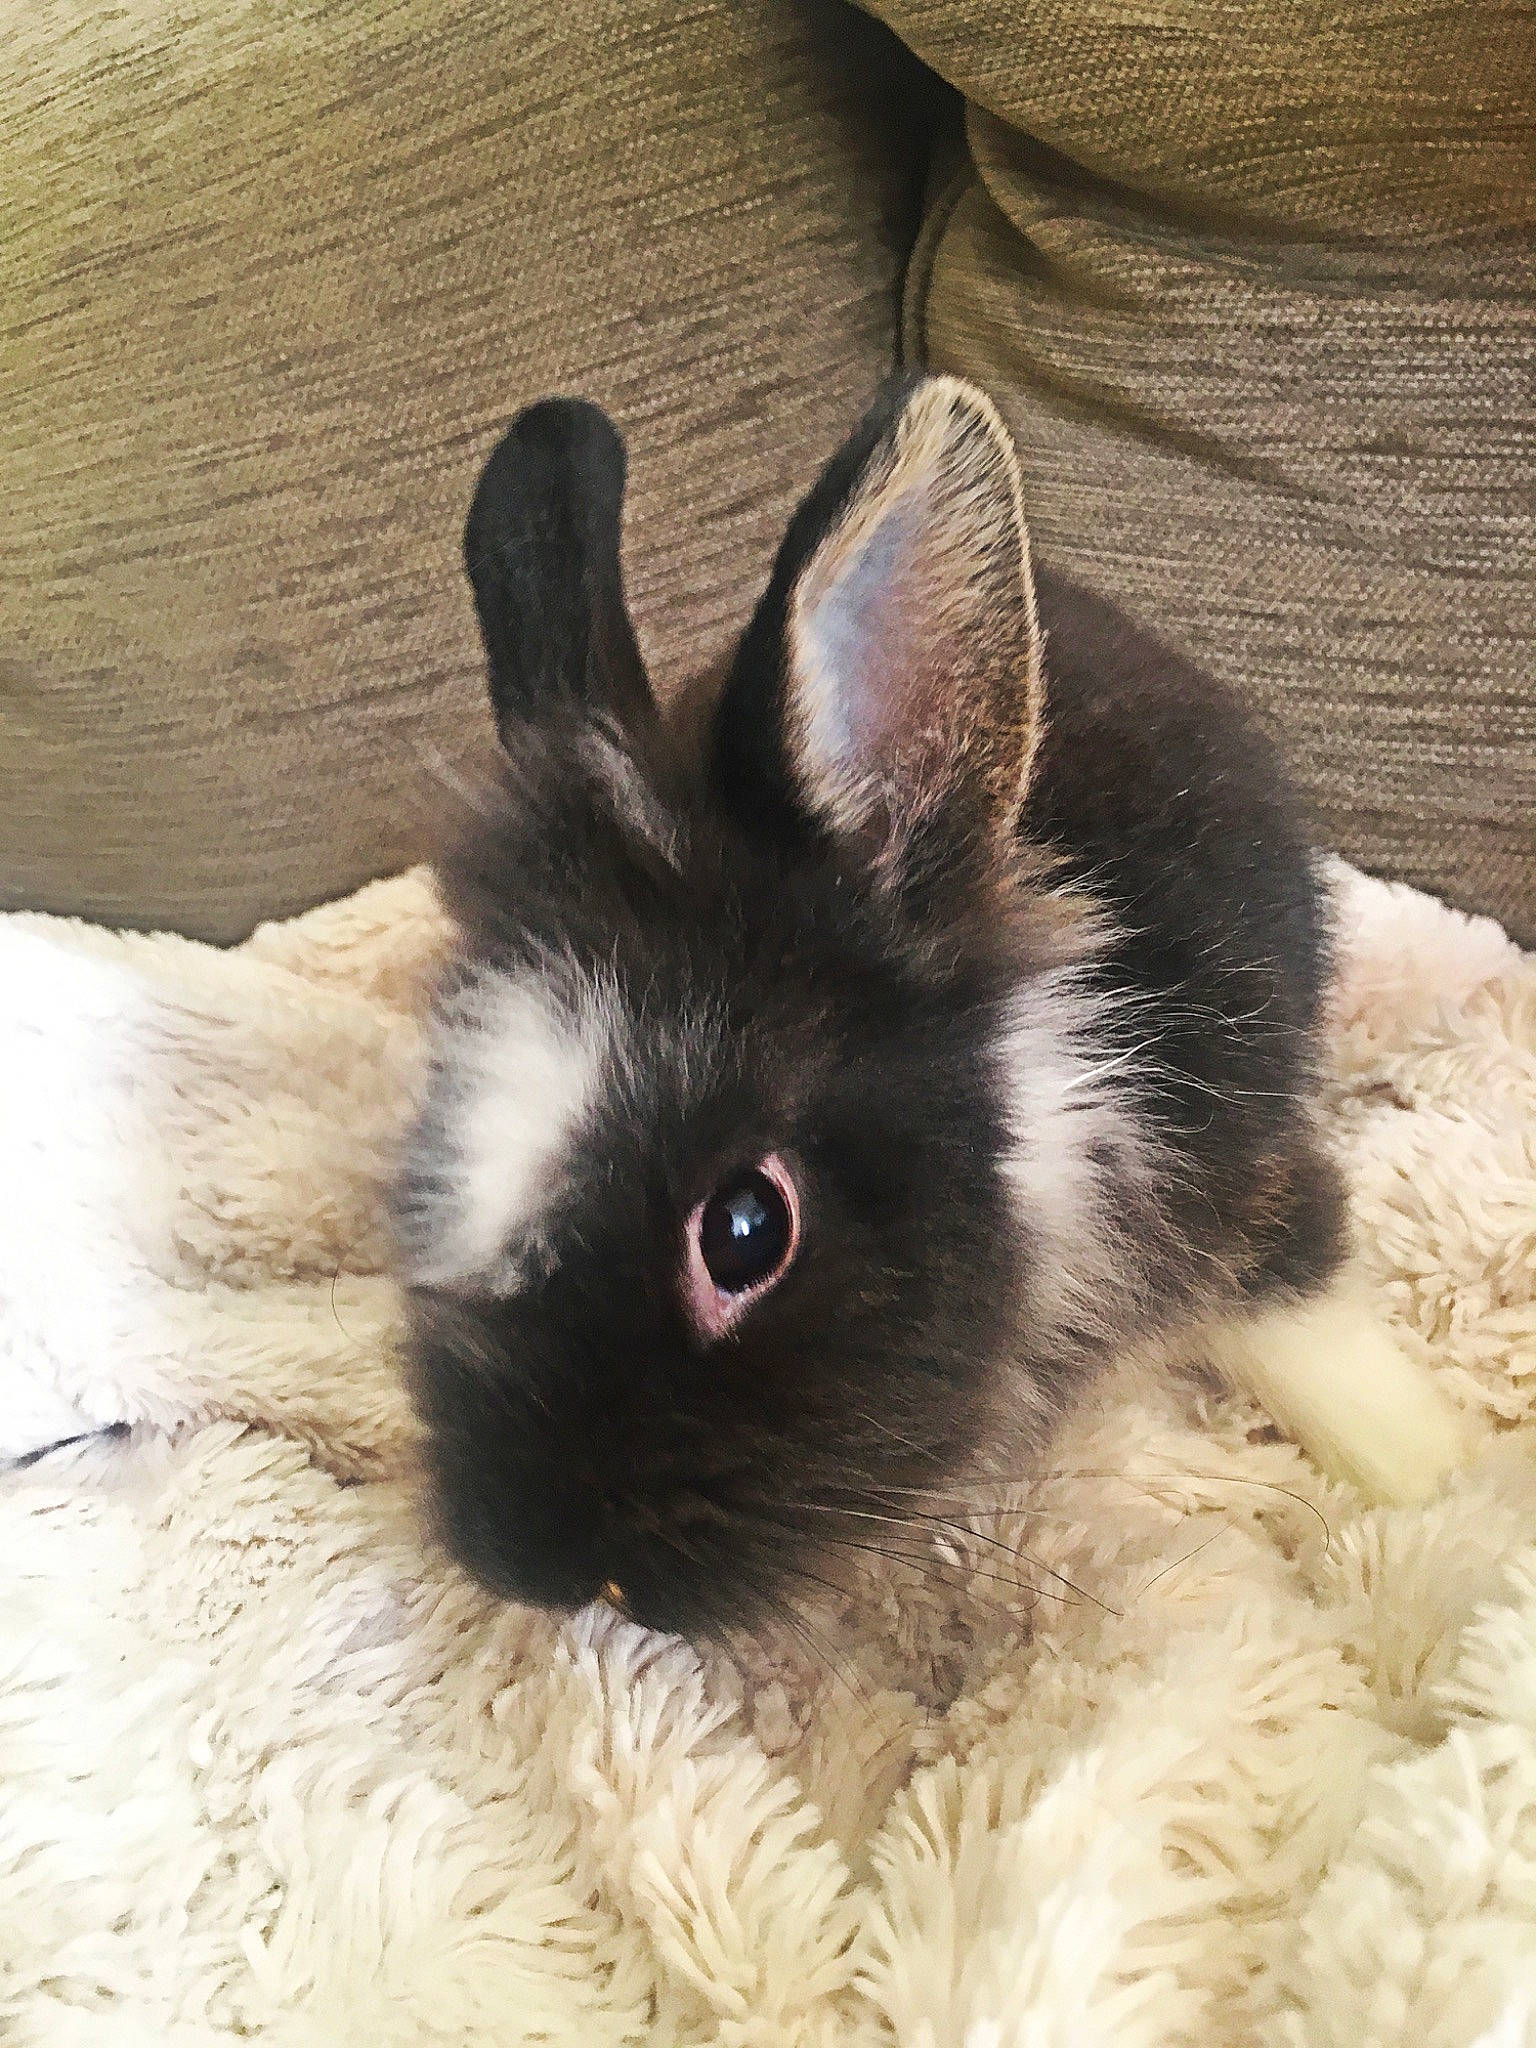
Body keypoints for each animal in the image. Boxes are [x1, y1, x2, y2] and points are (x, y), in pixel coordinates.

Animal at [392, 374, 1475, 1640]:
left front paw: (1448, 1477)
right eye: (422, 1161)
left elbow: (1310, 1319)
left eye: (746, 1228)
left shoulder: (1240, 1168)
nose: (530, 1564)